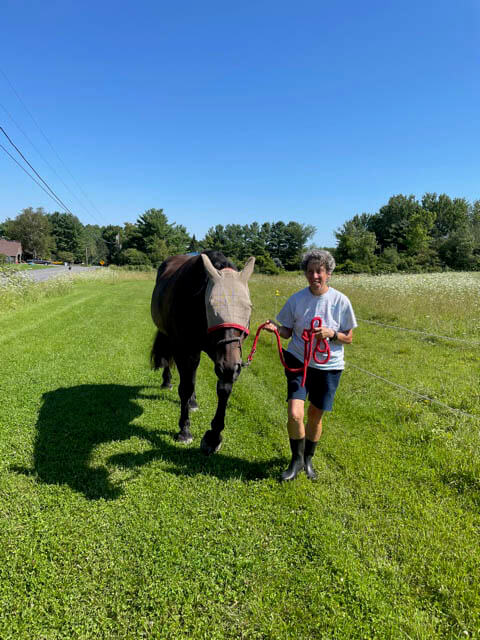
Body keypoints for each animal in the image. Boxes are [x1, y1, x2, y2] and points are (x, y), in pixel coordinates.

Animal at [150, 250, 255, 456]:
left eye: (248, 308)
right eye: (212, 308)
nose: (231, 367)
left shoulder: (222, 355)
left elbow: (223, 387)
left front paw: (213, 436)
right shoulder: (184, 350)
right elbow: (185, 387)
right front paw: (184, 430)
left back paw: (192, 402)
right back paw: (168, 382)